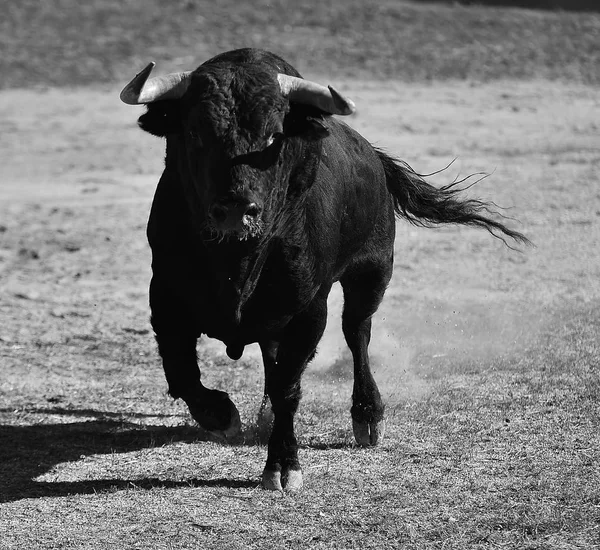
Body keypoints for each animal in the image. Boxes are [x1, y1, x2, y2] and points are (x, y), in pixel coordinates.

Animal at [119, 49, 528, 494]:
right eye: (195, 133)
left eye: (273, 137)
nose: (235, 211)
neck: (236, 262)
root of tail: (374, 158)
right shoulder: (165, 298)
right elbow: (182, 373)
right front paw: (223, 416)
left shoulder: (308, 309)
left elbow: (289, 387)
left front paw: (283, 465)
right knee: (272, 352)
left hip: (371, 273)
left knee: (357, 333)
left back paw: (368, 415)